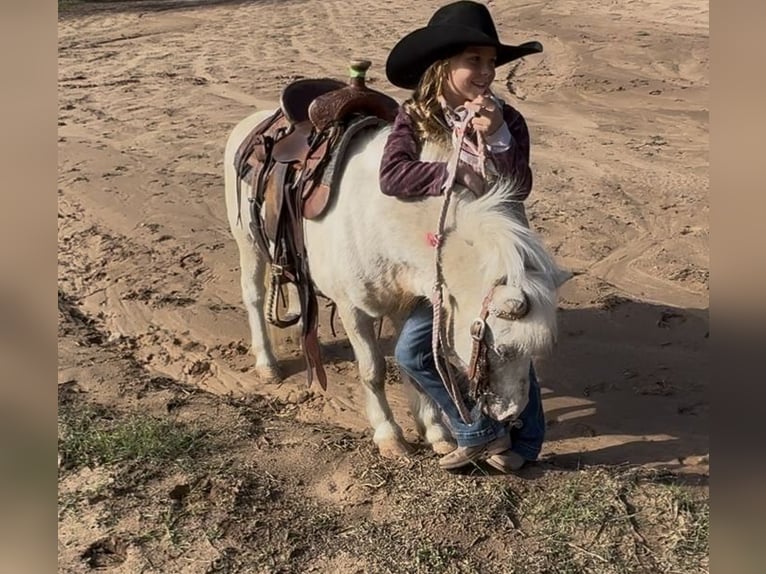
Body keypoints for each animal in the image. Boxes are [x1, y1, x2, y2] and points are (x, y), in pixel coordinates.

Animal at [224, 108, 568, 457]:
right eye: (502, 349)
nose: (511, 414)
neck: (380, 222)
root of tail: (253, 121)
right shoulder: (352, 310)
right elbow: (372, 371)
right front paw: (389, 435)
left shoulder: (406, 305)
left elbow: (410, 366)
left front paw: (435, 431)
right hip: (248, 243)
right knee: (254, 296)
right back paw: (267, 363)